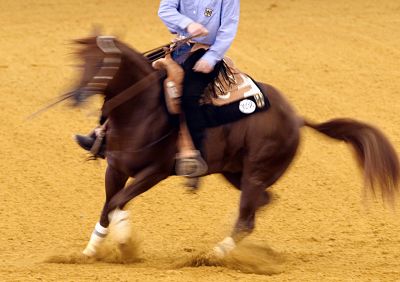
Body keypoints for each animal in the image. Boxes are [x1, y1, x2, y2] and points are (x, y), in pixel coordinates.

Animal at [67, 36, 398, 258]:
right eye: (78, 61)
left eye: (101, 63)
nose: (75, 95)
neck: (142, 110)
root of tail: (296, 118)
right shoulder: (115, 167)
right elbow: (109, 206)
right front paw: (91, 250)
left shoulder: (155, 172)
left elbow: (117, 202)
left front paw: (124, 242)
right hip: (236, 172)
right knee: (261, 203)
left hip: (255, 171)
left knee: (247, 218)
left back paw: (214, 255)